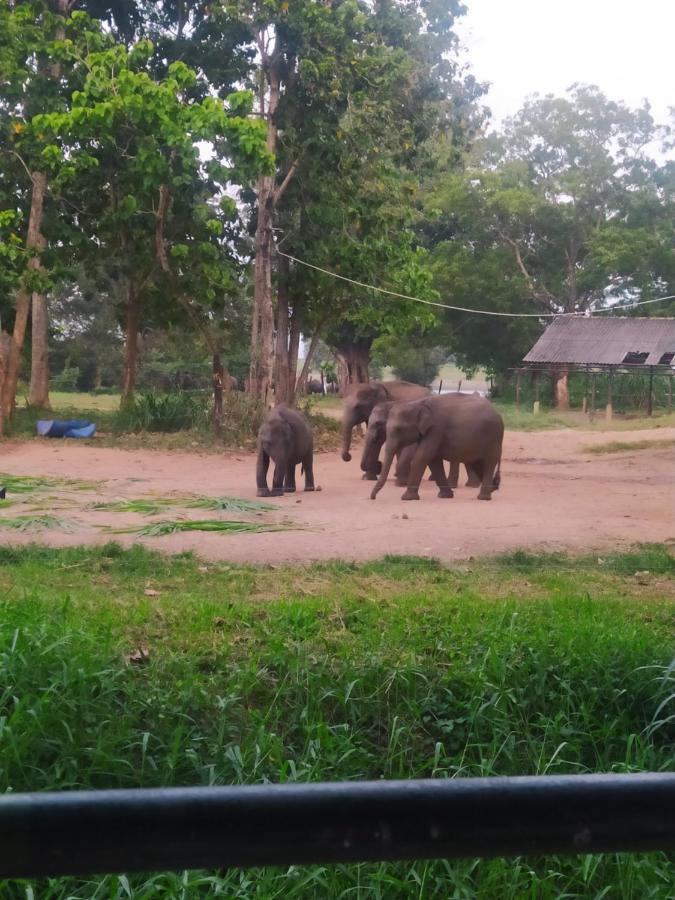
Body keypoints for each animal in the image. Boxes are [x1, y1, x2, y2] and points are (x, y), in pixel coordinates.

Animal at [370, 394, 502, 502]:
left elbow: (423, 456)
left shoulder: (435, 429)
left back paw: (484, 497)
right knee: (477, 465)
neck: (419, 403)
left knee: (489, 463)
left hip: (493, 439)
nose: (372, 497)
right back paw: (493, 488)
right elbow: (433, 461)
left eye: (399, 429)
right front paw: (445, 496)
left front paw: (406, 498)